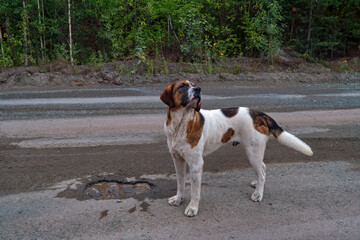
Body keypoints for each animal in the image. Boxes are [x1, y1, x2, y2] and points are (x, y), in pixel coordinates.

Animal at [160, 80, 312, 218]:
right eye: (182, 86)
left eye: (194, 85)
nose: (198, 89)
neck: (180, 124)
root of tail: (259, 114)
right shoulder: (177, 160)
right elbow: (180, 183)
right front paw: (178, 199)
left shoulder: (196, 164)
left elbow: (195, 191)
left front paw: (192, 208)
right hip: (254, 152)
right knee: (262, 167)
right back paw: (257, 183)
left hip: (252, 152)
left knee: (262, 172)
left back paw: (258, 193)